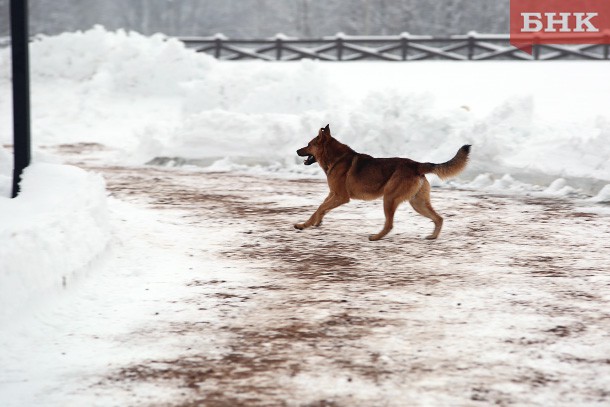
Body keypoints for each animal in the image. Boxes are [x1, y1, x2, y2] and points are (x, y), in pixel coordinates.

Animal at [294, 126, 470, 241]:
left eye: (308, 144)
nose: (296, 150)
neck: (336, 158)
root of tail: (416, 165)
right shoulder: (333, 194)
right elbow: (320, 209)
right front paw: (308, 223)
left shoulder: (341, 197)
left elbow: (320, 207)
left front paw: (308, 224)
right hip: (417, 203)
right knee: (439, 218)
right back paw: (433, 236)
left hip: (389, 198)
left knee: (389, 225)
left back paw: (376, 237)